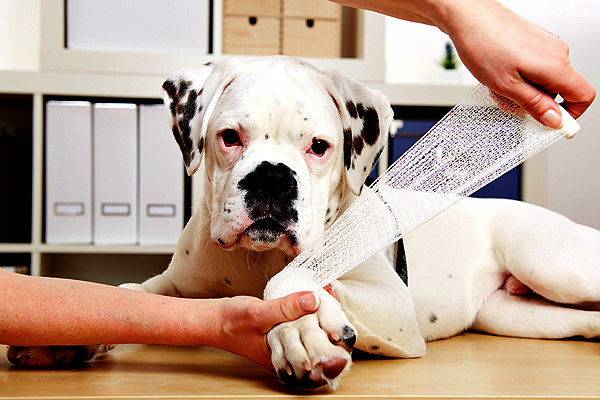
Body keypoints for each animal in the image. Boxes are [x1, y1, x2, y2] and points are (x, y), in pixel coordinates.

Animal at [8, 56, 600, 390]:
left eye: (319, 147)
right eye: (229, 137)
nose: (272, 178)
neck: (255, 258)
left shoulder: (396, 311)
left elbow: (289, 285)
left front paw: (300, 335)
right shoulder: (171, 290)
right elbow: (125, 295)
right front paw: (68, 339)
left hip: (548, 263)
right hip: (517, 315)